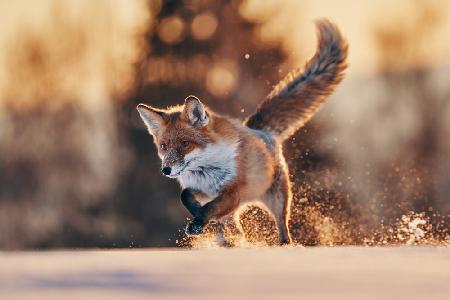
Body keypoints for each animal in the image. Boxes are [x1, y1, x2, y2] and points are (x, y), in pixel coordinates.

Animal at [137, 19, 348, 246]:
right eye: (164, 146)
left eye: (185, 144)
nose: (166, 170)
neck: (206, 170)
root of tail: (259, 130)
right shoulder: (202, 190)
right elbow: (186, 196)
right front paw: (199, 217)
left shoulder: (233, 192)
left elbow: (211, 207)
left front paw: (199, 222)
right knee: (233, 225)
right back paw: (230, 239)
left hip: (277, 200)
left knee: (283, 228)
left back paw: (280, 244)